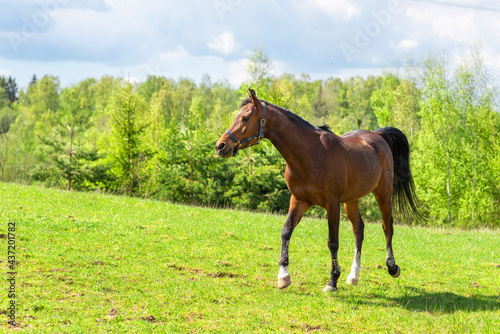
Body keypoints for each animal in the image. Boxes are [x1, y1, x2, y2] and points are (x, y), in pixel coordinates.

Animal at [214, 88, 422, 292]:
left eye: (245, 118)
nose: (221, 145)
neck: (310, 155)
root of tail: (378, 136)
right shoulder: (299, 200)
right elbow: (286, 231)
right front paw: (283, 276)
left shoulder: (332, 204)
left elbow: (332, 241)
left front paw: (332, 281)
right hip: (351, 200)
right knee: (359, 229)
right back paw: (353, 275)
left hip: (383, 193)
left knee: (387, 227)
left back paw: (392, 267)